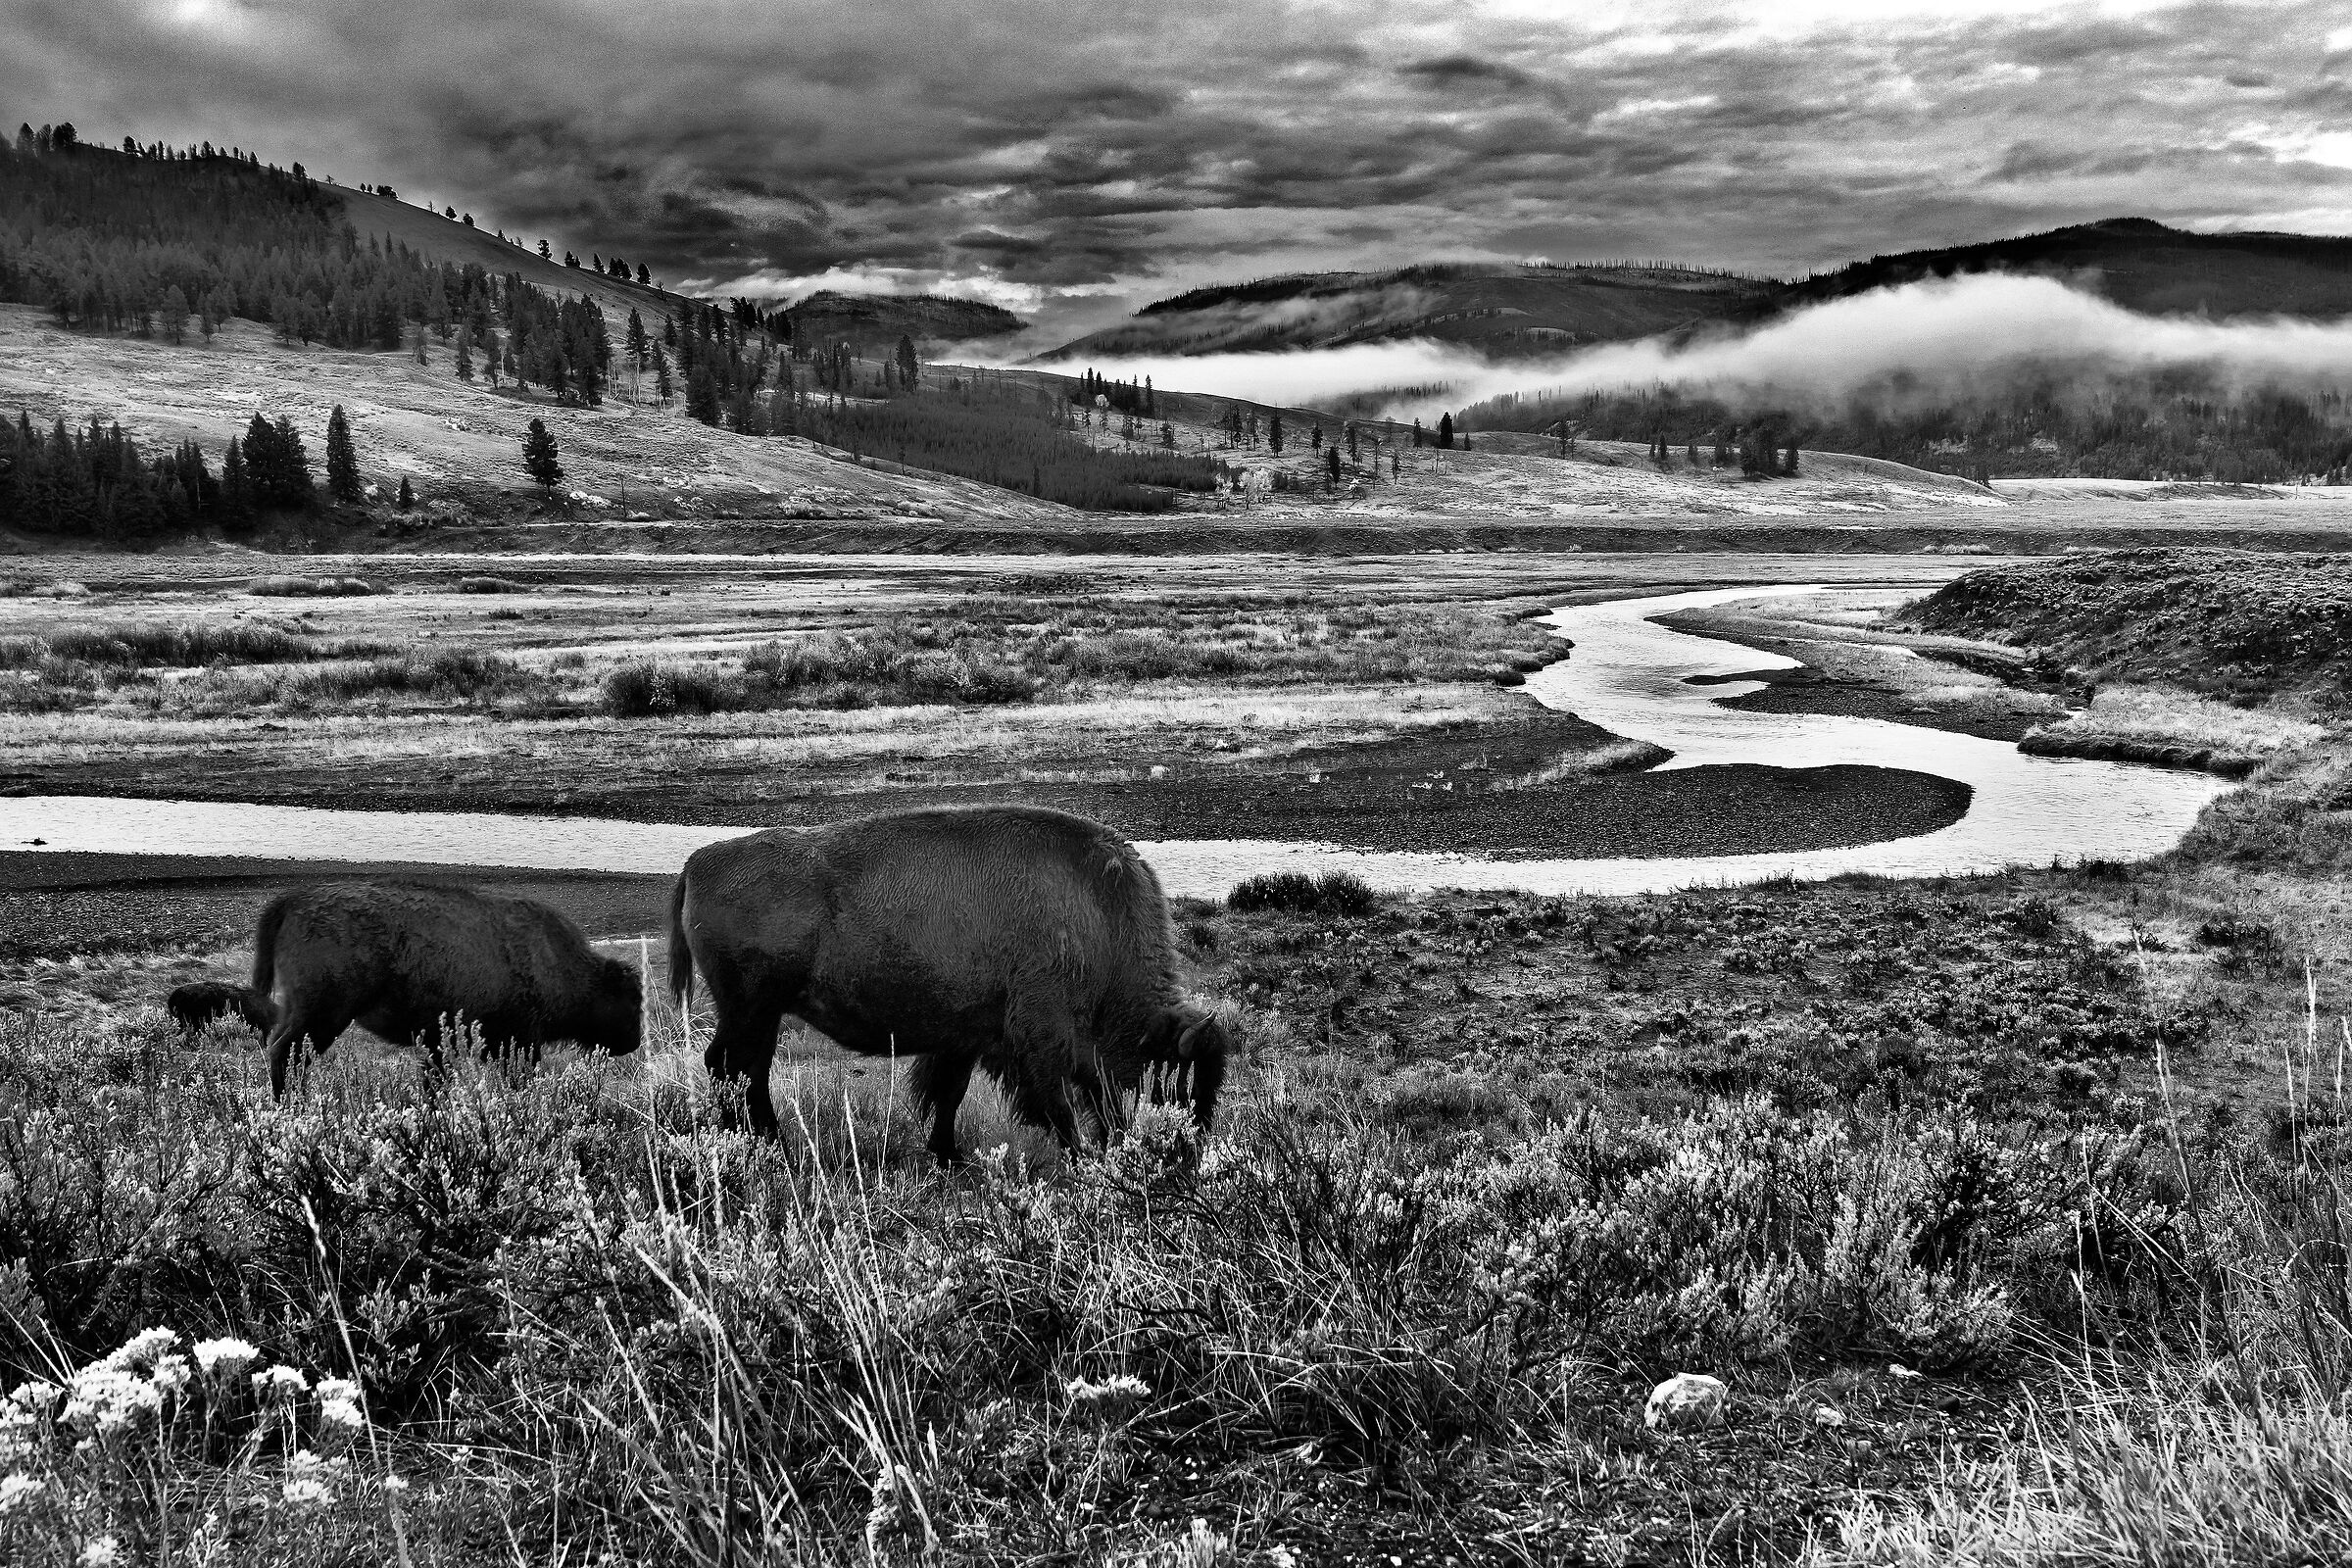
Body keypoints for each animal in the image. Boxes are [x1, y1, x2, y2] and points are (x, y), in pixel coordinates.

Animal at [252, 879, 643, 1096]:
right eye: (632, 1000)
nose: (635, 1041)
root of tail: (292, 901)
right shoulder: (521, 1042)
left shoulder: (439, 1046)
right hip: (322, 1014)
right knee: (286, 1054)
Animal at [667, 804, 1228, 1161]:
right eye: (1177, 1087)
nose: (1188, 1154)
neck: (1094, 918)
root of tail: (697, 862)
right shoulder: (1038, 1037)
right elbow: (1056, 1104)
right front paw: (1081, 1158)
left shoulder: (966, 1037)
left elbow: (949, 1094)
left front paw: (948, 1154)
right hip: (751, 1011)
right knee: (736, 1069)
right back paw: (768, 1143)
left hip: (756, 1014)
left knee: (739, 1069)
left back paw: (757, 1140)